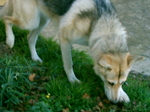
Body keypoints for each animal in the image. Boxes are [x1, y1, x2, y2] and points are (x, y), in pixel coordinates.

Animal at [0, 0, 144, 103]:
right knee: (6, 19)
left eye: (122, 83)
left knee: (30, 38)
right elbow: (69, 63)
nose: (115, 102)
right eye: (110, 83)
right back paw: (10, 40)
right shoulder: (64, 39)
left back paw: (35, 58)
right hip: (30, 21)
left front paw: (123, 95)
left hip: (42, 21)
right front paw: (72, 79)